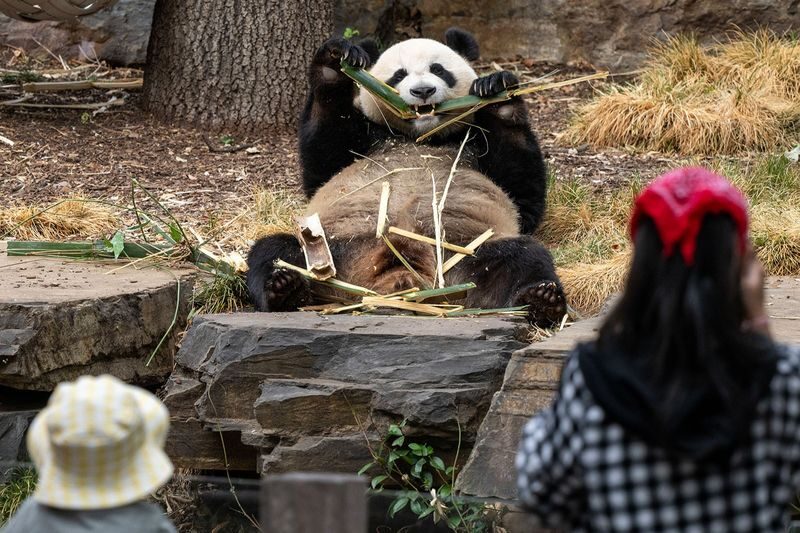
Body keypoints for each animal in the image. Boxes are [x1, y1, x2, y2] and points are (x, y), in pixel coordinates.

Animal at [247, 28, 566, 326]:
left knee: (523, 256)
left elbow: (522, 196)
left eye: (438, 69)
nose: (422, 91)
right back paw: (283, 287)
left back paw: (540, 299)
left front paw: (498, 92)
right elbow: (323, 160)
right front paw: (336, 62)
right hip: (332, 249)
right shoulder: (366, 139)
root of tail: (400, 282)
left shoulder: (472, 140)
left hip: (465, 255)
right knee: (275, 249)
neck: (421, 137)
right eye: (399, 75)